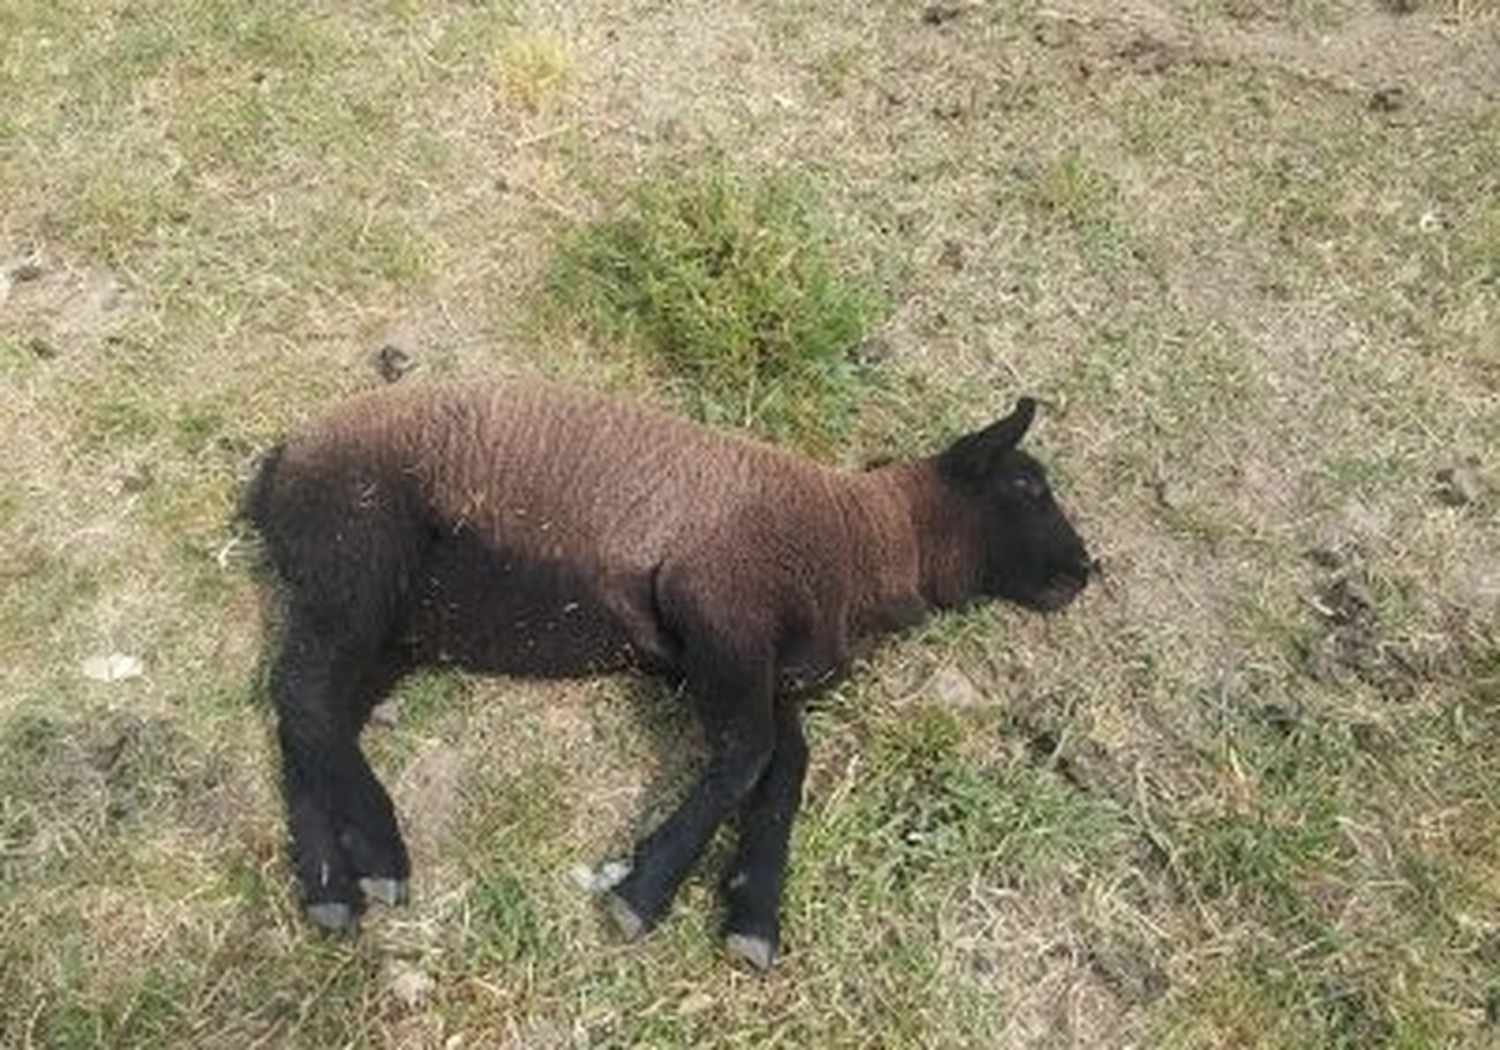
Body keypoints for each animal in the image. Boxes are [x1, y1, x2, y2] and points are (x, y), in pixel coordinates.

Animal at [245, 379, 1092, 969]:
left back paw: (330, 887)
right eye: (1028, 487)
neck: (859, 544)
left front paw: (753, 913)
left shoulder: (758, 672)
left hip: (397, 624)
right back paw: (379, 855)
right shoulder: (718, 605)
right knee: (303, 696)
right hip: (359, 555)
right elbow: (747, 756)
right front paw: (645, 890)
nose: (1088, 570)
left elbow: (785, 768)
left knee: (308, 717)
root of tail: (281, 463)